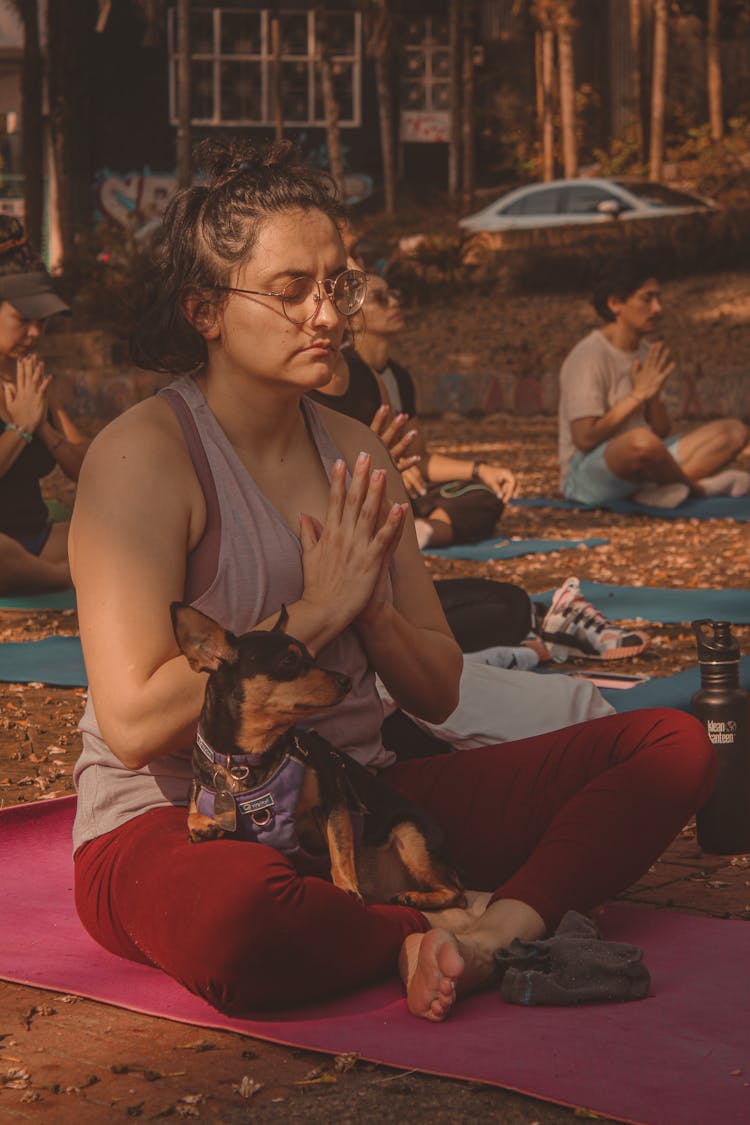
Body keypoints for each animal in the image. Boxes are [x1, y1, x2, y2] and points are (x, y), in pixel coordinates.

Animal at [172, 603, 463, 909]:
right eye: (288, 660)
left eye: (313, 658)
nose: (346, 680)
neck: (245, 761)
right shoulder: (204, 795)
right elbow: (192, 813)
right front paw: (202, 825)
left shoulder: (333, 802)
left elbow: (340, 850)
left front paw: (346, 888)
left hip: (411, 835)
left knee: (457, 892)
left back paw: (416, 897)